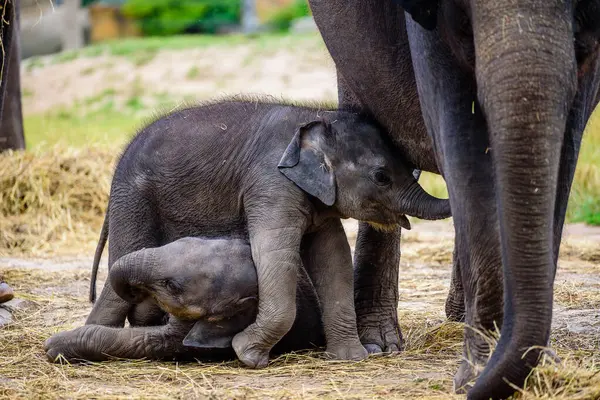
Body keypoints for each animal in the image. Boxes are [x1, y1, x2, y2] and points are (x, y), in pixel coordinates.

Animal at [86, 97, 448, 368]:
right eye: (381, 177)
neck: (318, 116)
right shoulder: (270, 182)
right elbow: (275, 251)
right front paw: (246, 354)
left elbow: (333, 258)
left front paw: (351, 359)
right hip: (133, 198)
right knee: (125, 258)